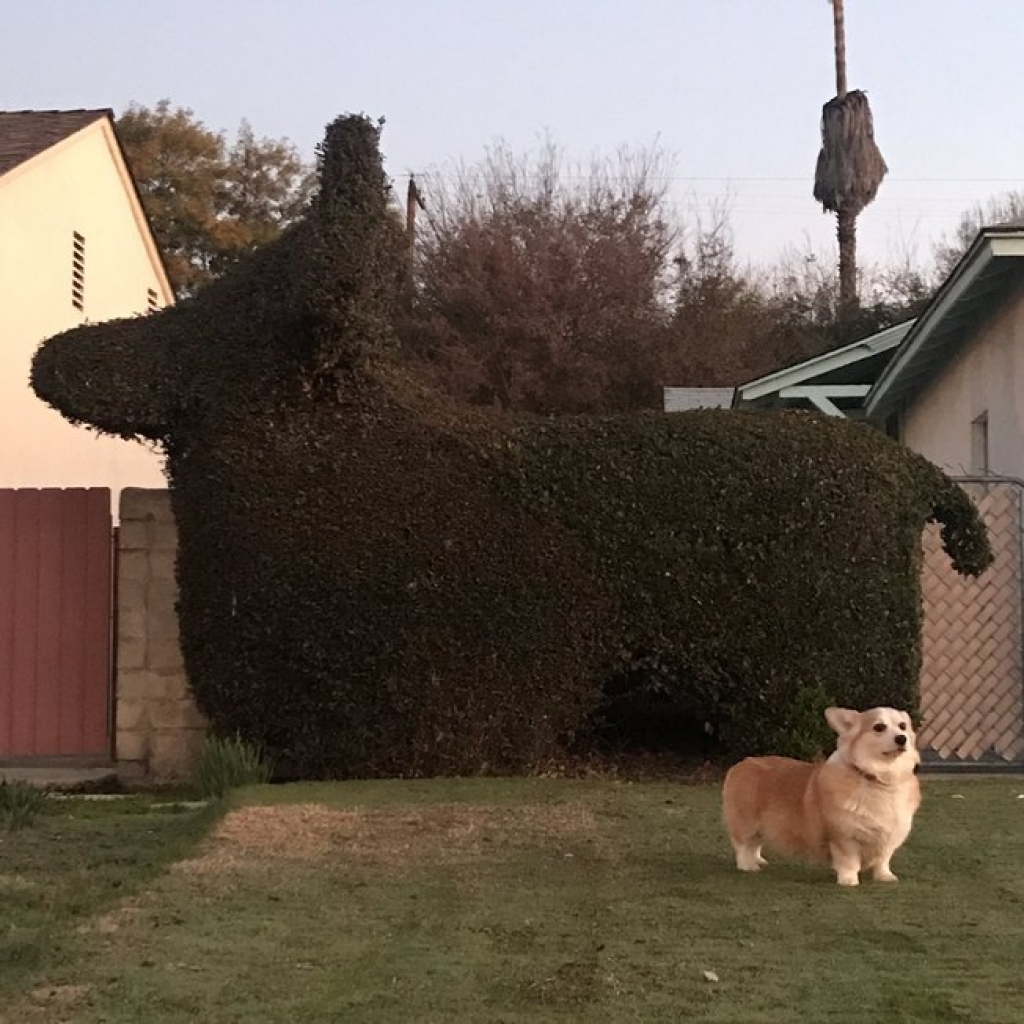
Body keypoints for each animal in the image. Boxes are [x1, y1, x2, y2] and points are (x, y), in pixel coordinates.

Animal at [720, 708, 921, 884]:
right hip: (747, 822)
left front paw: (885, 876)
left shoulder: (890, 835)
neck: (878, 779)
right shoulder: (843, 836)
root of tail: (741, 764)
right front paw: (849, 880)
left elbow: (883, 859)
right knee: (743, 845)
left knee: (755, 844)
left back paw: (758, 860)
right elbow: (849, 861)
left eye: (902, 726)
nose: (902, 738)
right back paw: (748, 865)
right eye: (879, 727)